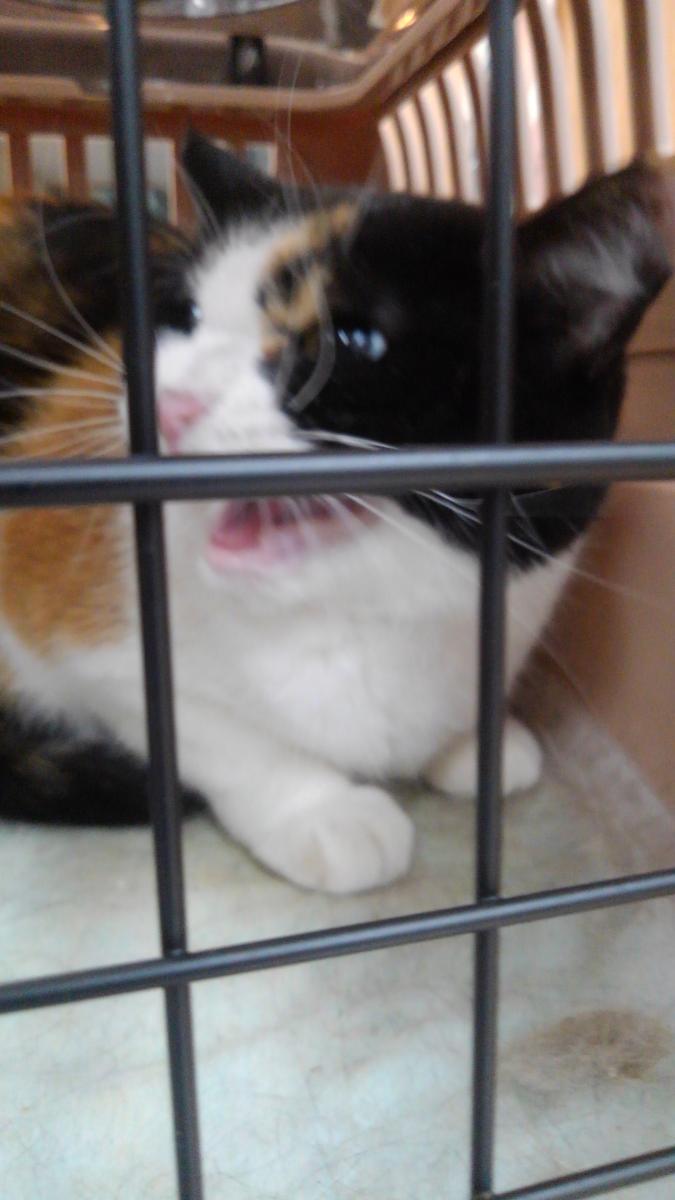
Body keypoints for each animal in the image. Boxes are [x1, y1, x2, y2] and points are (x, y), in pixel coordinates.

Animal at [0, 134, 669, 893]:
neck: (360, 617)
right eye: (189, 317)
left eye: (351, 341)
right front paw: (321, 811)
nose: (168, 404)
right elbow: (197, 725)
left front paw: (473, 742)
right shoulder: (68, 612)